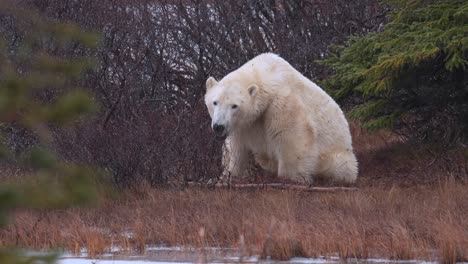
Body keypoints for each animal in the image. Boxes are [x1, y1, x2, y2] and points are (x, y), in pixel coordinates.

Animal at [204, 53, 358, 186]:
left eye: (234, 106)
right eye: (215, 102)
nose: (218, 126)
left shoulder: (281, 103)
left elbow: (292, 138)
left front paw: (289, 179)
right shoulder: (243, 124)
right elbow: (237, 148)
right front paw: (226, 178)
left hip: (337, 154)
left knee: (339, 166)